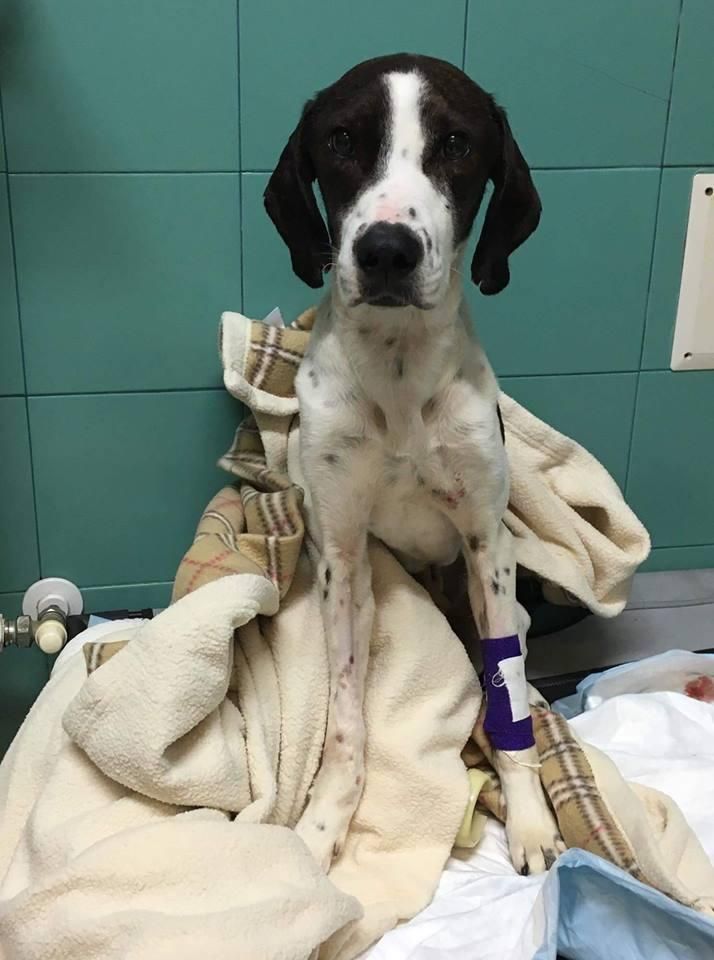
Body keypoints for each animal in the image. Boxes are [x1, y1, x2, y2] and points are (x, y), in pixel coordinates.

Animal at [264, 53, 564, 876]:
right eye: (341, 139)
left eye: (457, 143)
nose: (387, 252)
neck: (397, 372)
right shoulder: (340, 553)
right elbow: (345, 720)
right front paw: (326, 823)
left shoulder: (488, 548)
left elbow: (510, 699)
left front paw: (530, 820)